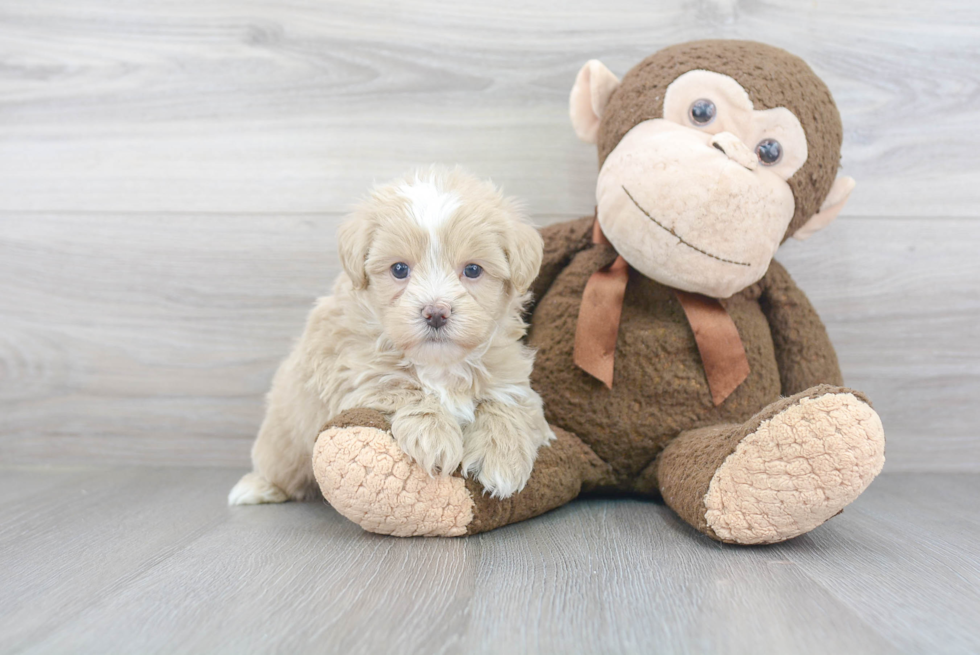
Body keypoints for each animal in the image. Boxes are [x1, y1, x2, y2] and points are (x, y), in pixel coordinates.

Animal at [226, 167, 556, 504]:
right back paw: (258, 486)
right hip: (284, 442)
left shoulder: (511, 375)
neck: (440, 364)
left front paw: (502, 458)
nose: (435, 313)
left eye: (473, 270)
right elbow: (402, 386)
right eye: (399, 269)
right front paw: (434, 436)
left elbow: (506, 401)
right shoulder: (351, 376)